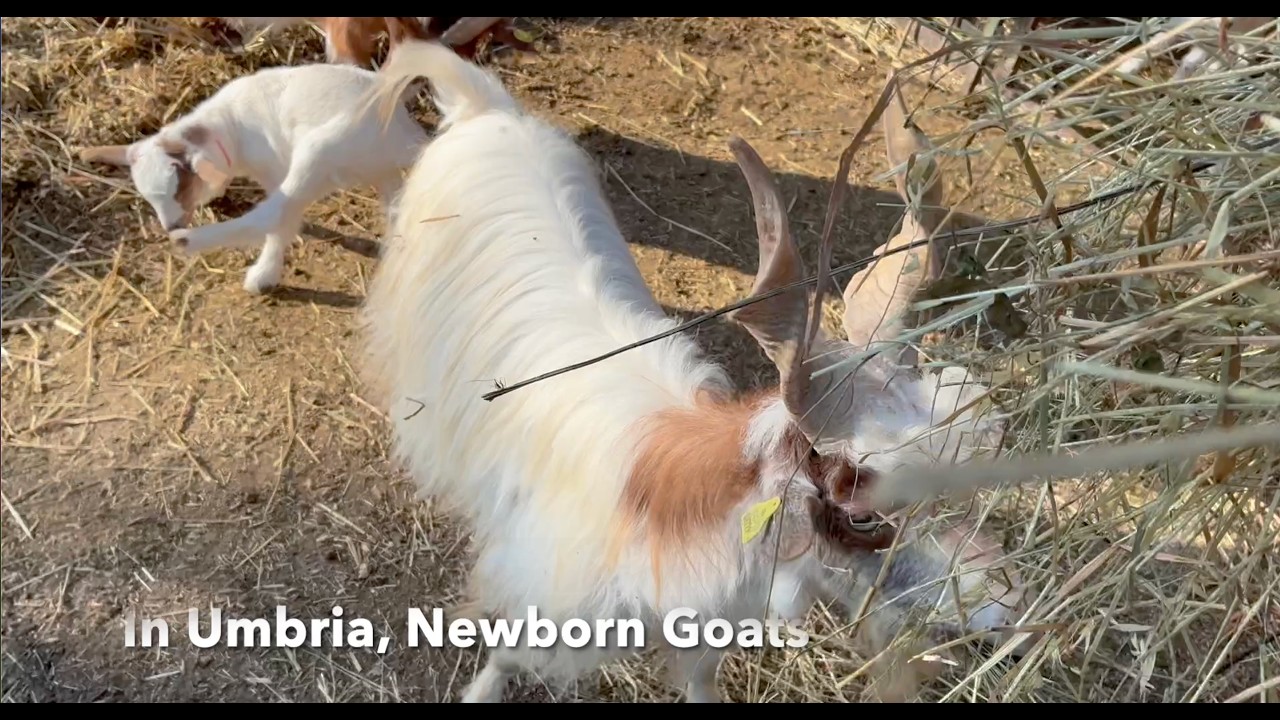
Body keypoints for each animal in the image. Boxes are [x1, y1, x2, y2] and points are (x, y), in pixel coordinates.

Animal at [79, 62, 428, 294]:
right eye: (150, 198)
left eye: (181, 188)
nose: (171, 225)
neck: (227, 124)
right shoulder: (382, 173)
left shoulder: (275, 170)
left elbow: (282, 221)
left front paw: (268, 270)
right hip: (381, 161)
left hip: (320, 149)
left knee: (269, 216)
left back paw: (209, 250)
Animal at [361, 39, 1018, 703]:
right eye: (863, 514)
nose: (1005, 615)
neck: (664, 509)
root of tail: (482, 108)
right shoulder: (545, 592)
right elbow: (507, 653)